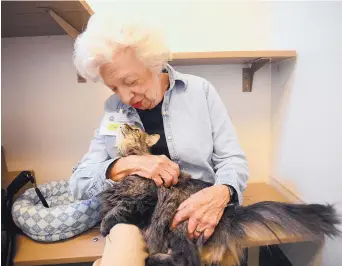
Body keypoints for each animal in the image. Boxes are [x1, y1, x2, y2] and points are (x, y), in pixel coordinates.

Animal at [98, 124, 340, 266]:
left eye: (133, 128)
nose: (123, 123)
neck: (135, 158)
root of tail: (228, 214)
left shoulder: (145, 199)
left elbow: (117, 212)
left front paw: (104, 227)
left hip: (178, 225)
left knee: (187, 260)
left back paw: (153, 259)